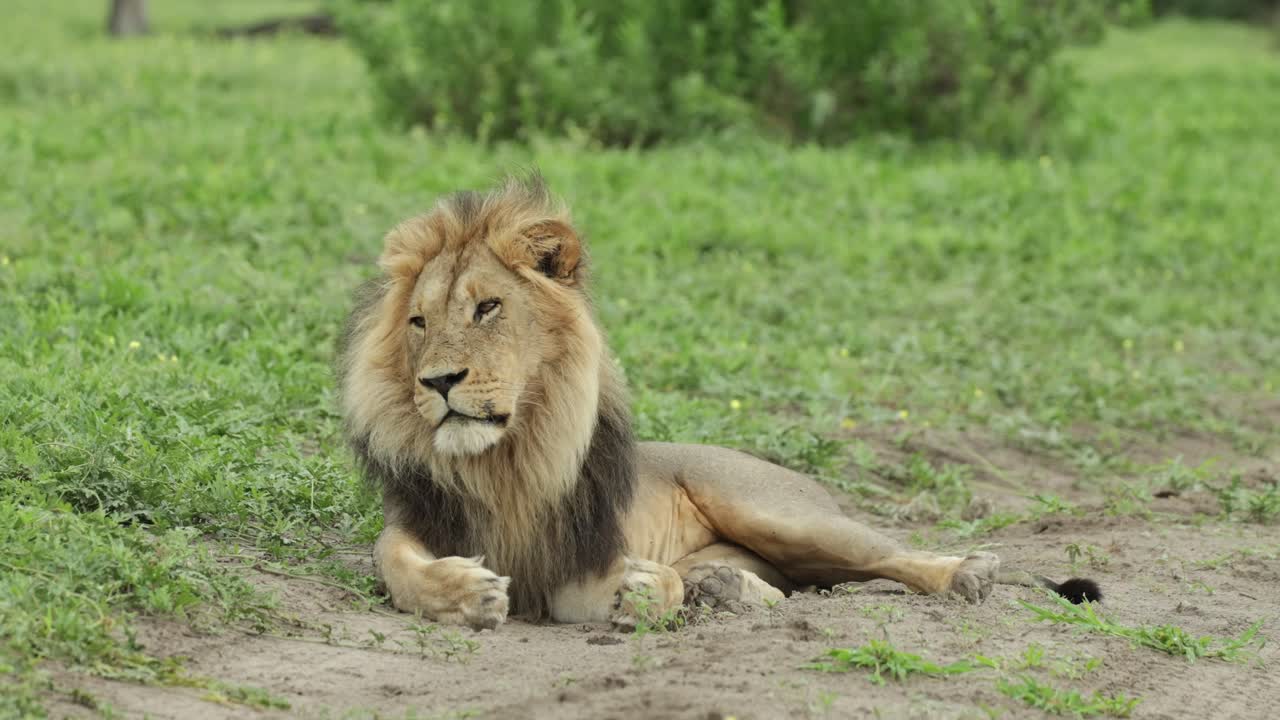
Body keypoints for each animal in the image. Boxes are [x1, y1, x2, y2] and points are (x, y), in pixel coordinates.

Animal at [337, 175, 1098, 631]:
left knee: (887, 557)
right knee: (797, 586)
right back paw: (724, 587)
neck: (506, 457)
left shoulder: (580, 554)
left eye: (488, 308)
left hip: (780, 512)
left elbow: (624, 590)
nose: (437, 382)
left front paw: (647, 592)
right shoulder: (421, 518)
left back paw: (968, 573)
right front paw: (465, 593)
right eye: (418, 323)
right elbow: (390, 557)